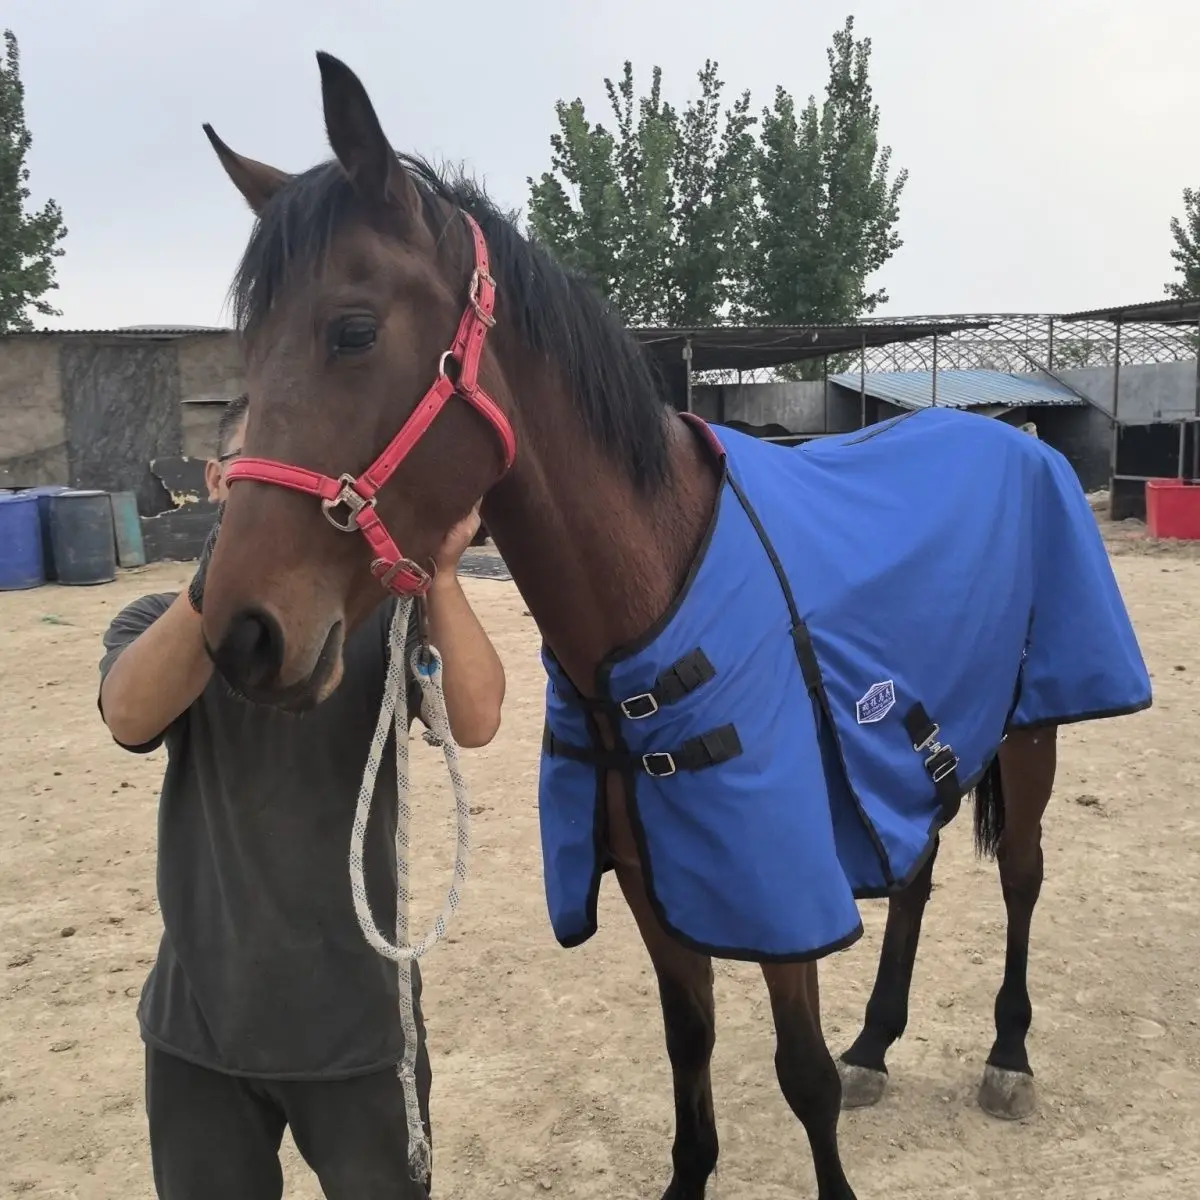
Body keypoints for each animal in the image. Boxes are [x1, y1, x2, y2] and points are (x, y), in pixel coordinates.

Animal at [196, 52, 1153, 1200]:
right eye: (248, 350)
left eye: (352, 330)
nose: (241, 632)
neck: (642, 601)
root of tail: (1018, 438)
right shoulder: (659, 890)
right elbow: (688, 1054)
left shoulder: (780, 892)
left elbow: (800, 1076)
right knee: (916, 877)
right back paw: (879, 1043)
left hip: (1029, 732)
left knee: (1021, 878)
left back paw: (1008, 1055)